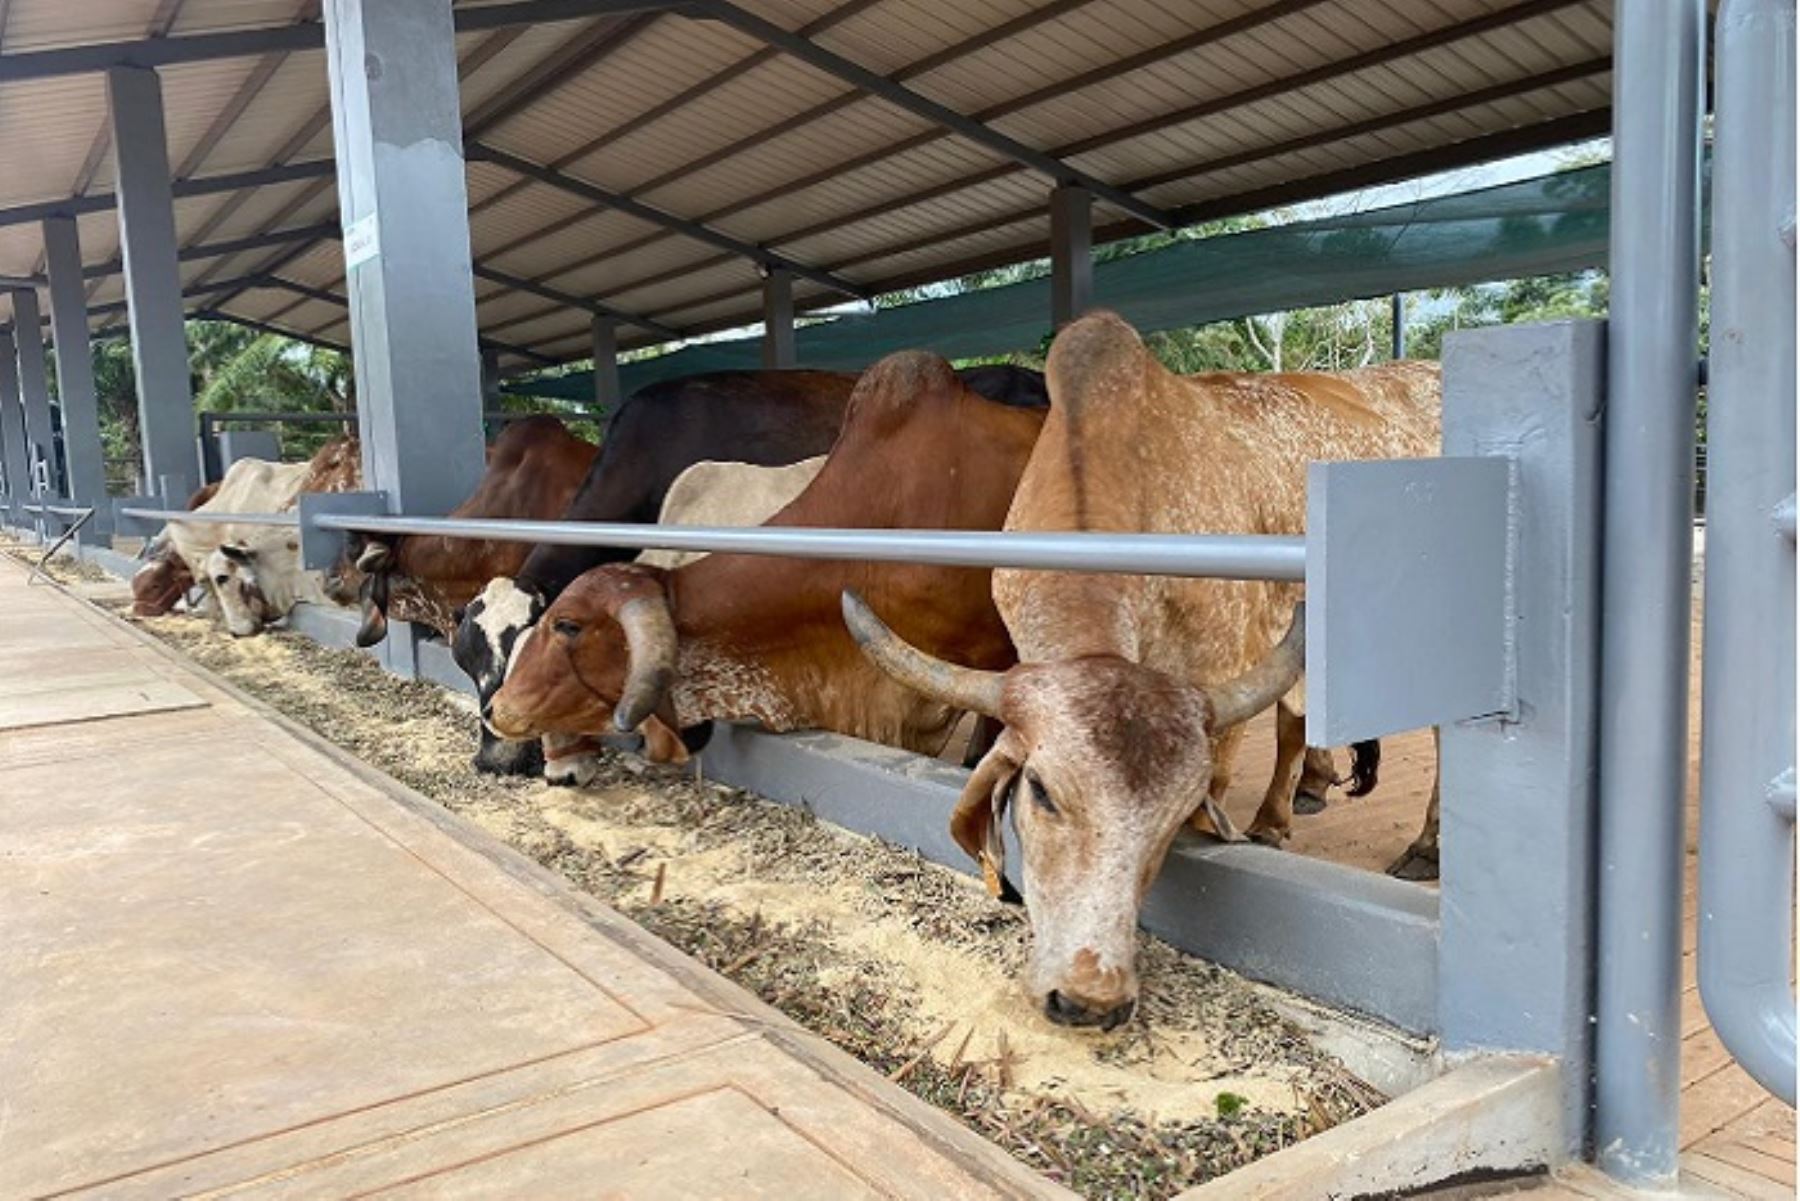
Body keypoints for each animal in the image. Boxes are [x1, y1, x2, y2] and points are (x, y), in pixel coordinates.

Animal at [842, 315, 1447, 1029]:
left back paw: (1426, 847)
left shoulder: (1229, 670)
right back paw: (1281, 814)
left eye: (1178, 810)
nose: (1088, 1000)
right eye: (1040, 792)